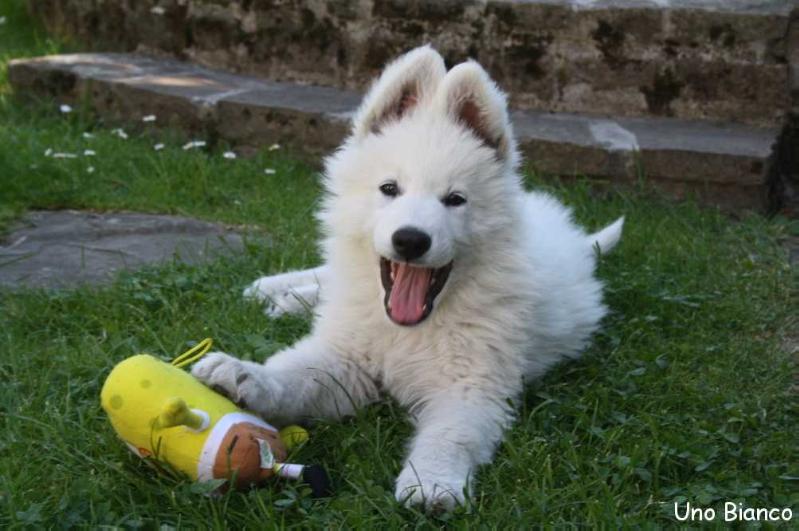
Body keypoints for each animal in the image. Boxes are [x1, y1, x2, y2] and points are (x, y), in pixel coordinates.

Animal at [191, 45, 620, 512]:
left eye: (455, 199)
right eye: (389, 188)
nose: (410, 240)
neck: (408, 327)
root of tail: (578, 241)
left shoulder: (472, 384)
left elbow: (450, 435)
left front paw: (432, 482)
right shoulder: (346, 358)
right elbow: (293, 374)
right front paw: (243, 375)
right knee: (329, 274)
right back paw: (274, 290)